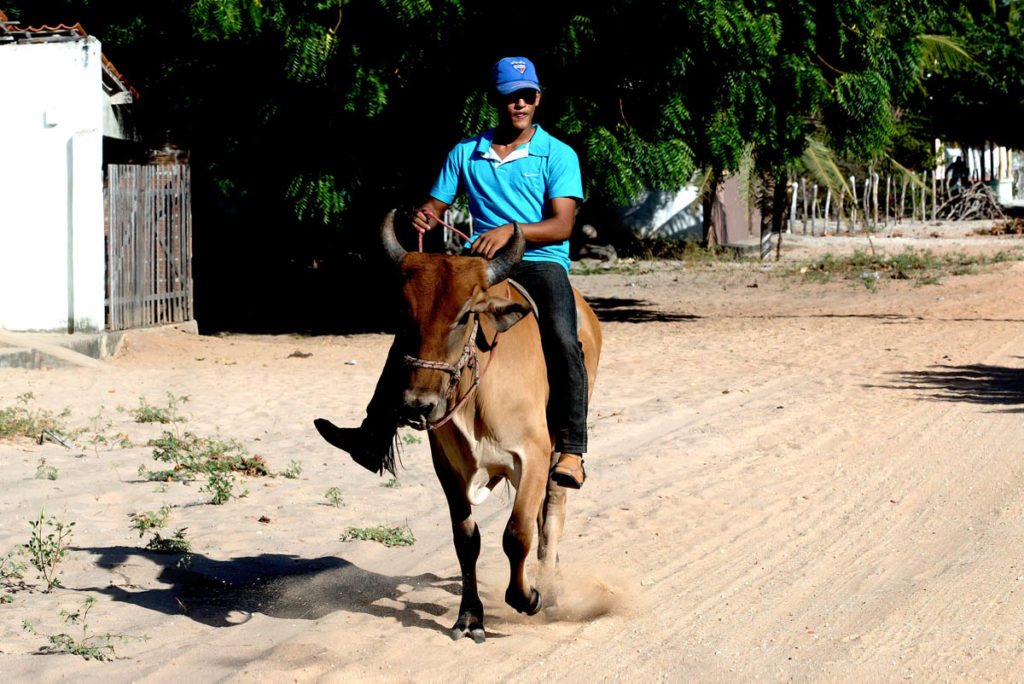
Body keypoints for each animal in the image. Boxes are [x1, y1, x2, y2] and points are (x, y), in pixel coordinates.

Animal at [378, 208, 598, 643]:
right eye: (405, 313)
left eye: (466, 315)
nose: (418, 405)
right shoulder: (447, 467)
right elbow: (466, 540)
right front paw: (470, 616)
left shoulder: (533, 455)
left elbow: (518, 534)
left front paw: (528, 597)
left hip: (559, 455)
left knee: (552, 515)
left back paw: (549, 586)